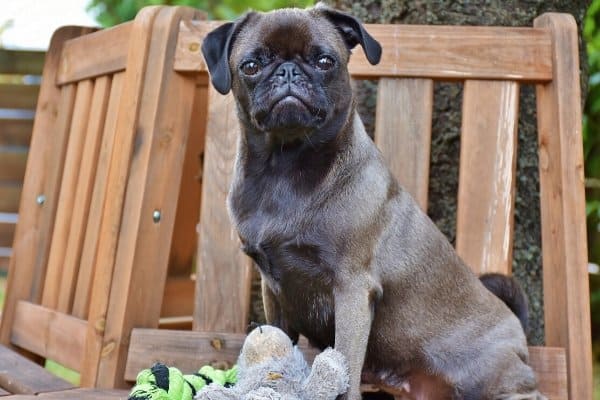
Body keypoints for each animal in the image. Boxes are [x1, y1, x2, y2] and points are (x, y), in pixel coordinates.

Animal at [202, 3, 544, 400]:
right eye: (251, 66)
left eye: (324, 61)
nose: (288, 71)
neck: (285, 166)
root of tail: (516, 327)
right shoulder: (274, 289)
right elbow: (279, 339)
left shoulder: (351, 289)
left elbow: (347, 360)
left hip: (482, 375)